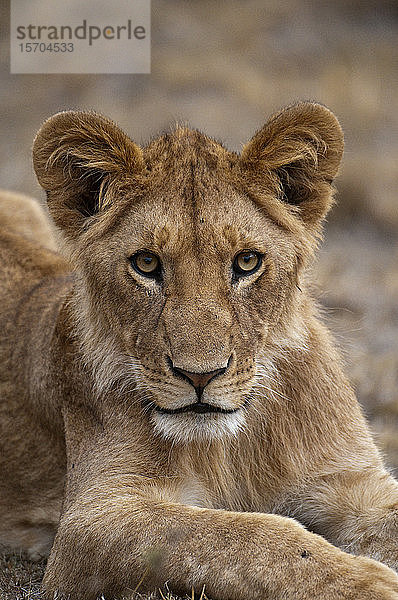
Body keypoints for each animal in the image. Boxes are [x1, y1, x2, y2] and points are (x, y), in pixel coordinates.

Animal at [0, 103, 398, 600]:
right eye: (146, 263)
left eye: (247, 262)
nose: (200, 376)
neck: (233, 442)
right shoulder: (90, 521)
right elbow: (247, 535)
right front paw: (371, 583)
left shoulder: (354, 482)